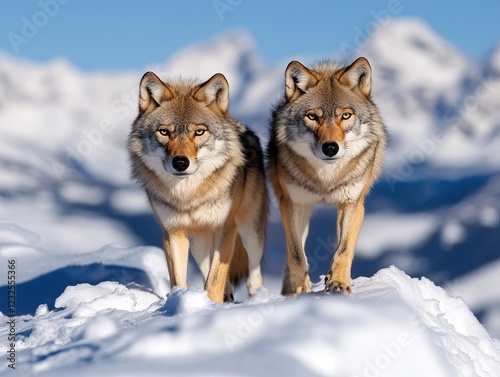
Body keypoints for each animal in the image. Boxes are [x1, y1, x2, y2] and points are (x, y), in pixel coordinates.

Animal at [129, 72, 270, 302]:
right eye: (164, 132)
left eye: (199, 132)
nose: (180, 162)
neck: (188, 195)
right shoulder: (173, 232)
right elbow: (179, 279)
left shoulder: (226, 228)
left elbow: (215, 279)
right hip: (198, 243)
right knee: (208, 268)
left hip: (250, 230)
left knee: (254, 271)